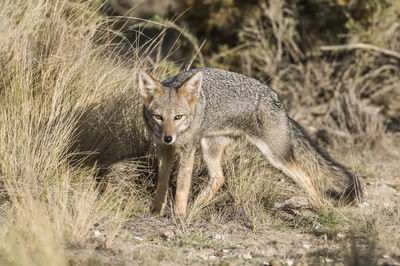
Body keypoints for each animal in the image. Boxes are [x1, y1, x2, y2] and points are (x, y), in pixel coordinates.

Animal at [139, 67, 364, 217]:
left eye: (178, 117)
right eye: (158, 117)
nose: (169, 137)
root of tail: (277, 100)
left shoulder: (187, 149)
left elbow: (182, 185)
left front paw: (179, 215)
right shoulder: (164, 149)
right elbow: (162, 181)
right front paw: (155, 210)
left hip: (276, 155)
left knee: (306, 176)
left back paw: (320, 207)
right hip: (210, 147)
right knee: (219, 178)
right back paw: (196, 207)